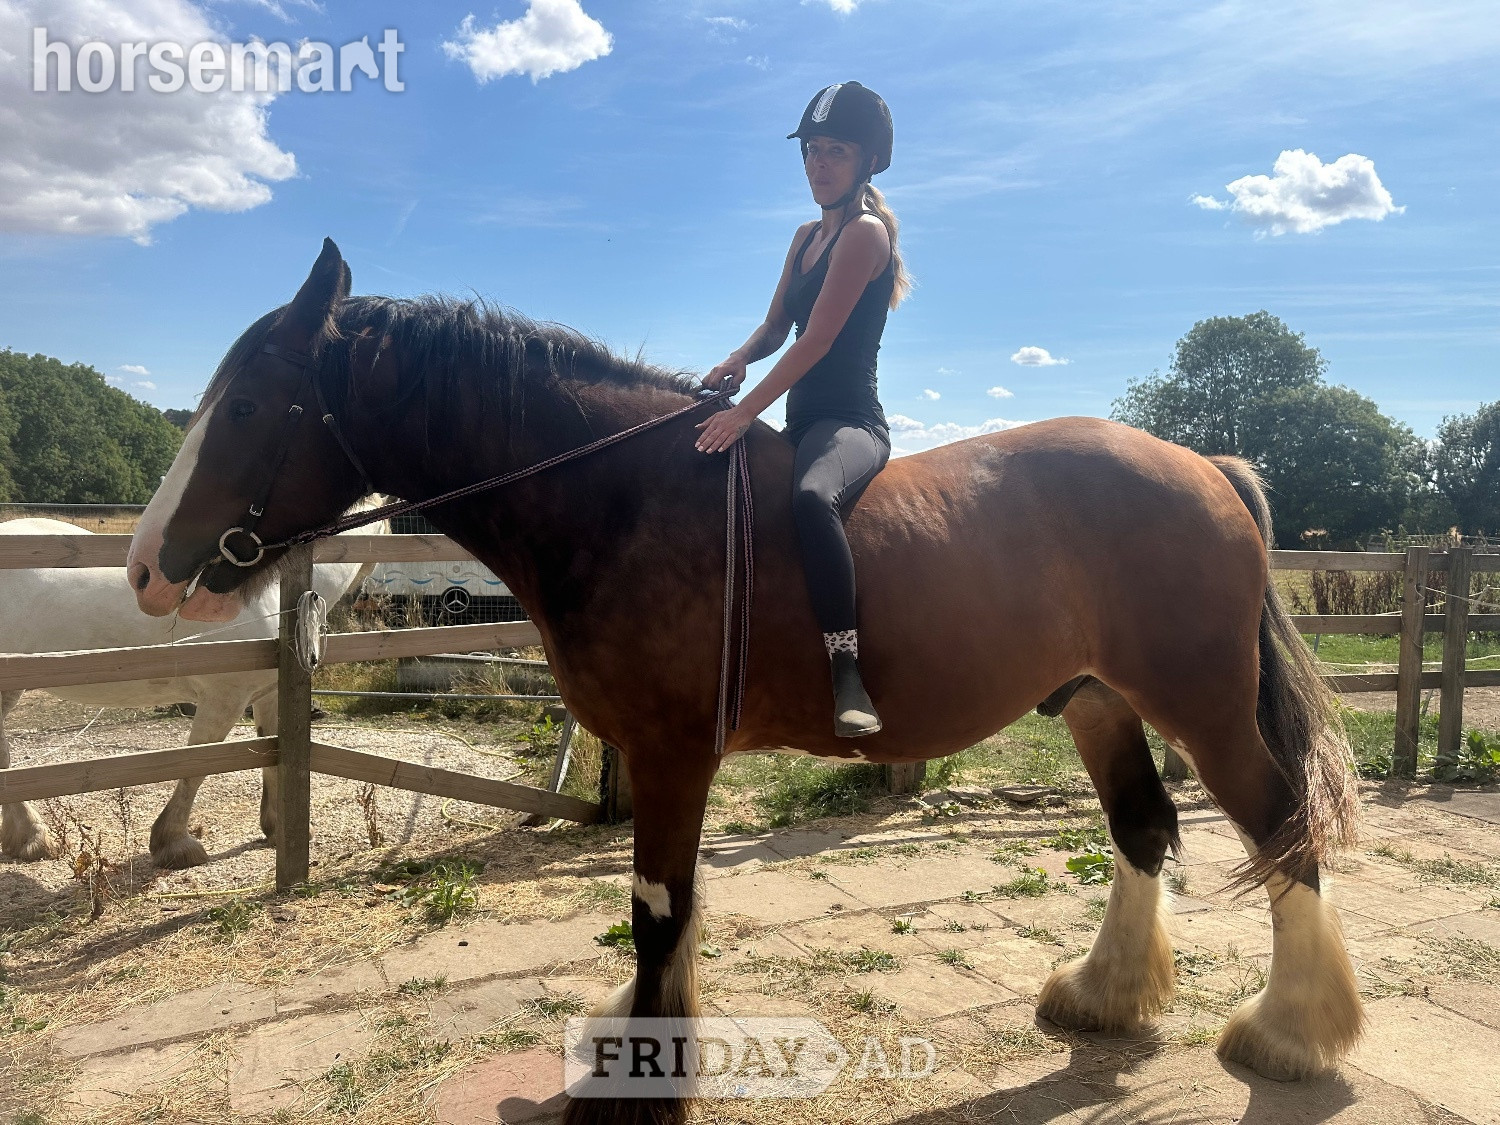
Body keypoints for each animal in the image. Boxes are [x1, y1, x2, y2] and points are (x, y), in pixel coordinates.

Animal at [0, 513, 385, 869]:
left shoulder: (268, 695)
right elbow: (197, 765)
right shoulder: (224, 698)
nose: (367, 601)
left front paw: (279, 828)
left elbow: (272, 755)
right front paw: (175, 843)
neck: (274, 592)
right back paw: (34, 838)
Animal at [125, 239, 1364, 1124]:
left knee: (1279, 825)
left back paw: (1291, 1031)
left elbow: (657, 915)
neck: (627, 498)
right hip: (1099, 701)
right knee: (1144, 828)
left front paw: (643, 1085)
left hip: (1200, 703)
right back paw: (1106, 995)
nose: (145, 568)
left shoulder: (672, 753)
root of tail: (1207, 466)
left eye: (247, 405)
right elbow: (659, 917)